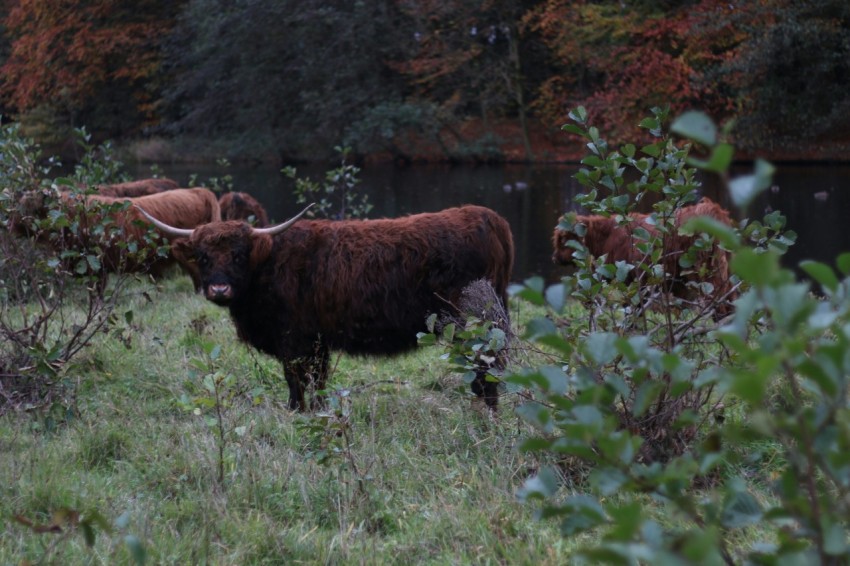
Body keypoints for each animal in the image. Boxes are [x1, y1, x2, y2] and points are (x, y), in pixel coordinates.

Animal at [138, 204, 515, 410]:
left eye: (238, 255)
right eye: (203, 257)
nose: (219, 288)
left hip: (475, 323)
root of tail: (487, 216)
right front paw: (317, 411)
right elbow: (316, 380)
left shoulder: (294, 339)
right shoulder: (316, 341)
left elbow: (295, 380)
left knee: (487, 367)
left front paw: (296, 412)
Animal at [553, 197, 736, 317]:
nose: (554, 258)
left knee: (719, 304)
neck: (606, 236)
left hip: (707, 272)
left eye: (563, 239)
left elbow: (632, 310)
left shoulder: (629, 280)